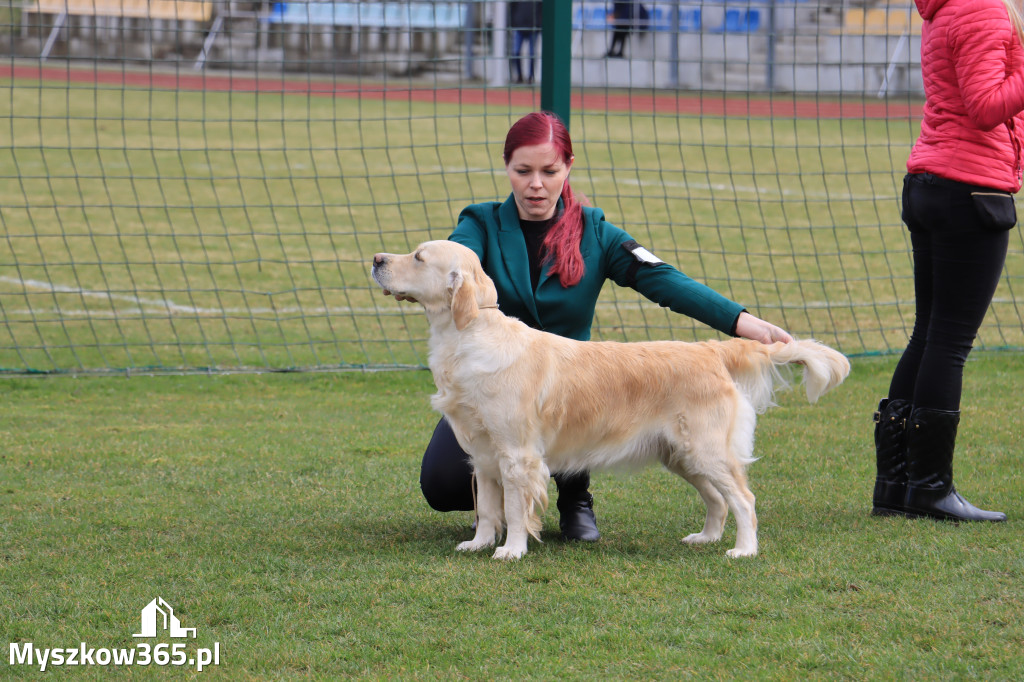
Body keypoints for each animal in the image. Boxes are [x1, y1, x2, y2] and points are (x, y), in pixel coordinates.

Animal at [368, 238, 847, 557]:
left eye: (419, 257)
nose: (374, 258)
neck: (468, 336)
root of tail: (710, 350)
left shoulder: (516, 454)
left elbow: (516, 509)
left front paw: (512, 550)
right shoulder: (482, 454)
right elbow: (487, 507)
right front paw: (479, 543)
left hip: (706, 449)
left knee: (743, 500)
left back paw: (743, 550)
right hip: (682, 455)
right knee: (716, 500)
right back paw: (705, 538)